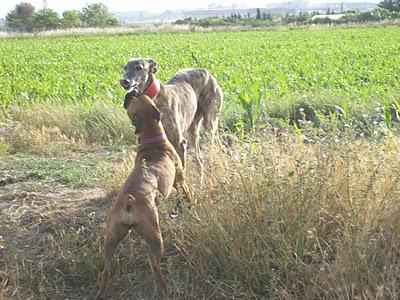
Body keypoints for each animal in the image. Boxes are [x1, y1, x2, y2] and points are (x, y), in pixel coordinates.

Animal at [96, 94, 191, 298]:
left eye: (137, 96)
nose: (130, 92)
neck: (152, 139)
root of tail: (128, 201)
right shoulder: (180, 180)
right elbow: (187, 194)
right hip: (155, 237)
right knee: (155, 266)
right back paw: (163, 288)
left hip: (111, 238)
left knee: (106, 268)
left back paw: (102, 291)